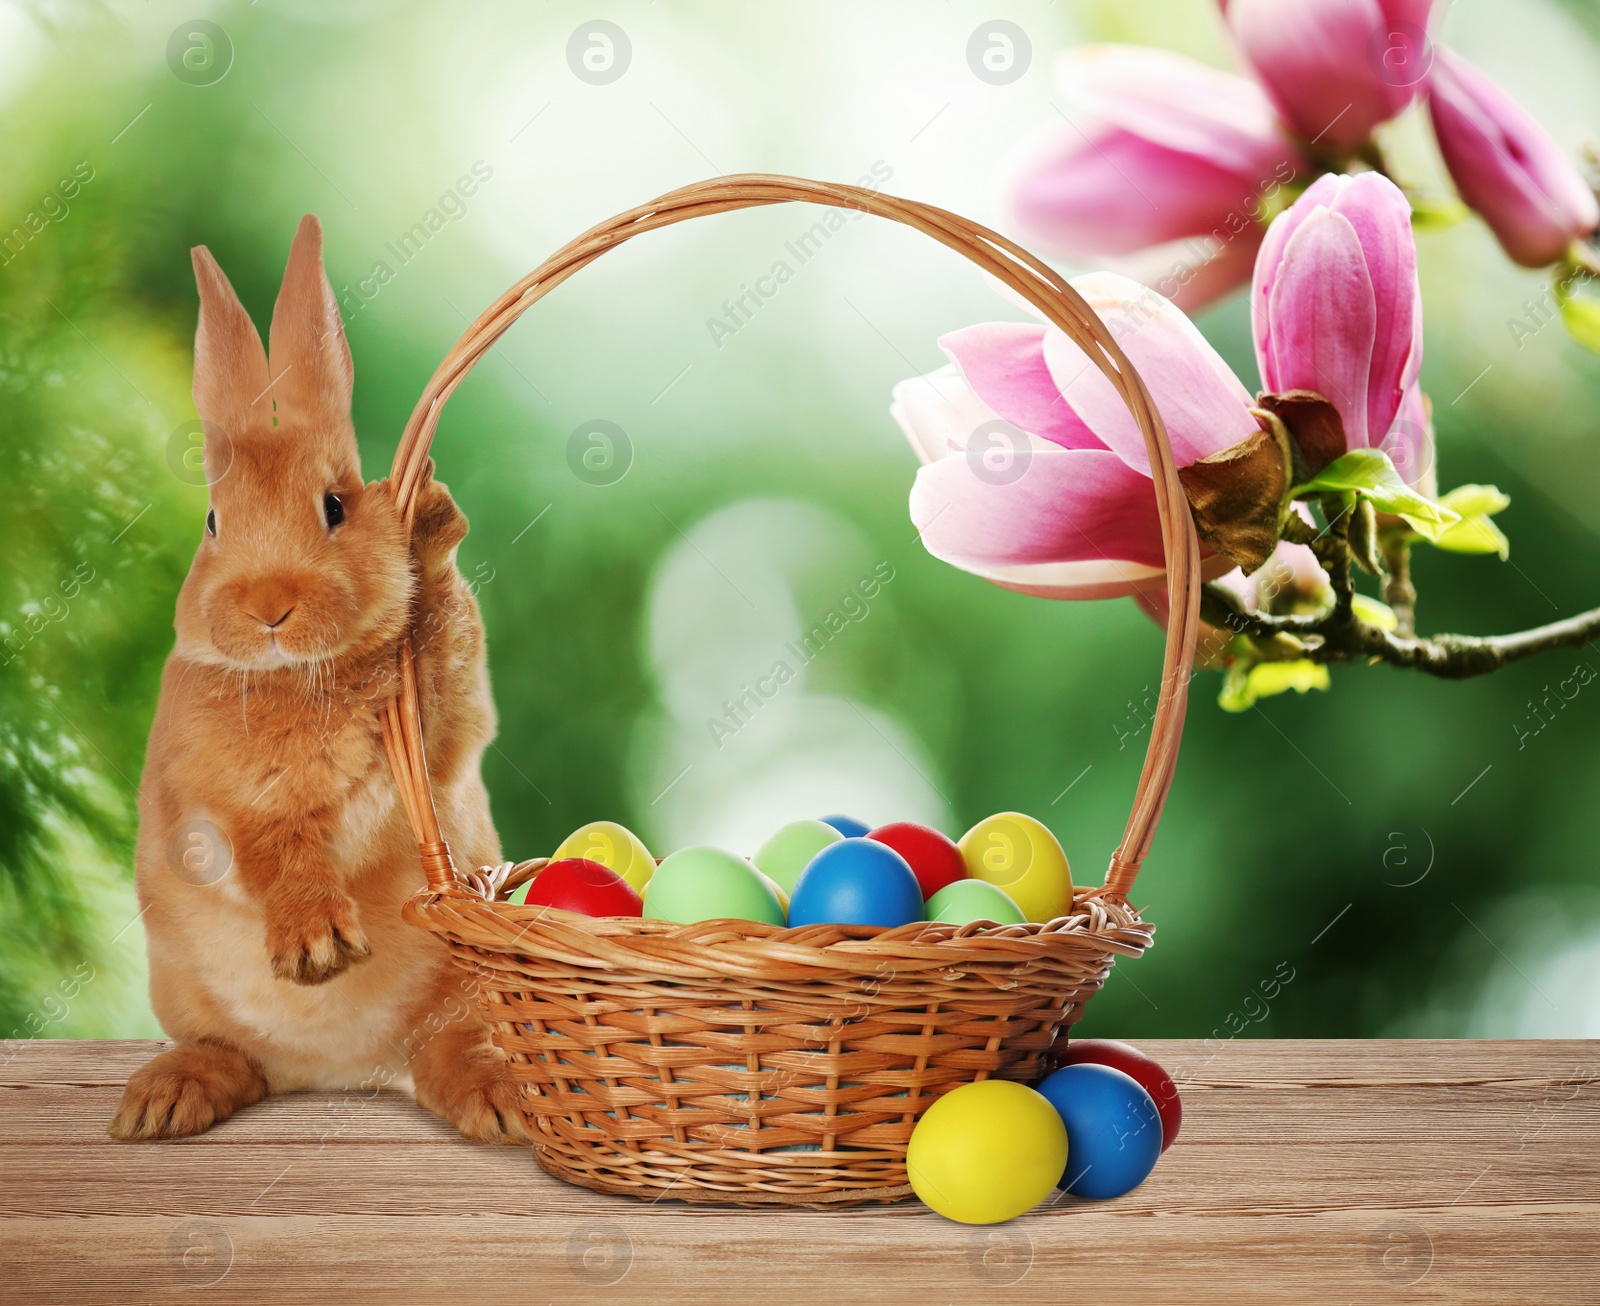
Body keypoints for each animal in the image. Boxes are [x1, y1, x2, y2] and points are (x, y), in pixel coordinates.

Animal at [112, 214, 524, 1139]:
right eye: (213, 522)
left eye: (336, 506)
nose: (269, 606)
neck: (302, 675)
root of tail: (343, 1073)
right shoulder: (212, 798)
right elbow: (271, 848)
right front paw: (315, 947)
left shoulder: (443, 736)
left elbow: (448, 681)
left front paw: (428, 514)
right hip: (185, 990)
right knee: (228, 1053)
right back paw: (164, 1100)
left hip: (466, 990)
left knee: (451, 1053)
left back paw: (498, 1101)